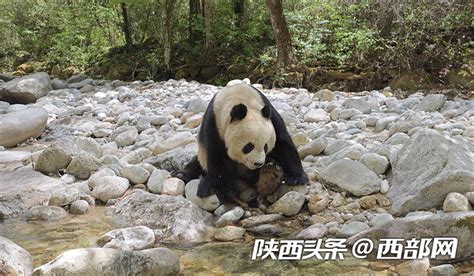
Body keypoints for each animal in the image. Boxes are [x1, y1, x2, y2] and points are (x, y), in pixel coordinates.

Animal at [178, 83, 308, 201]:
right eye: (248, 147)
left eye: (266, 146)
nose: (258, 163)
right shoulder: (214, 125)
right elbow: (216, 156)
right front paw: (213, 188)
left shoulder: (271, 117)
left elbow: (283, 144)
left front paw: (296, 178)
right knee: (197, 162)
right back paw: (183, 175)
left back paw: (271, 171)